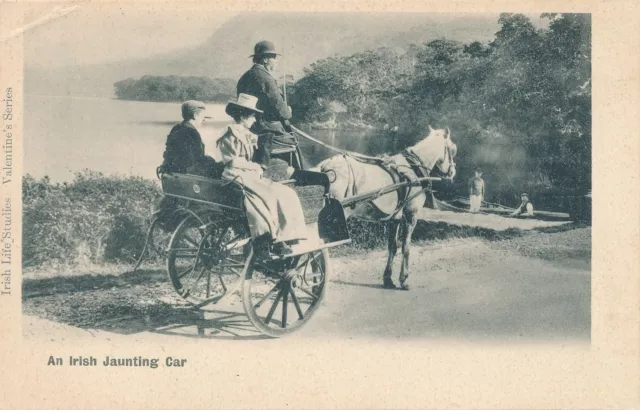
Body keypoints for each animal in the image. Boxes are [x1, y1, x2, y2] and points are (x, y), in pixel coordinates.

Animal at [312, 126, 458, 290]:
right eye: (453, 149)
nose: (453, 172)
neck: (413, 168)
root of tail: (324, 166)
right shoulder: (411, 215)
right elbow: (406, 247)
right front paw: (404, 279)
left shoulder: (395, 218)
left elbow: (392, 246)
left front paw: (388, 279)